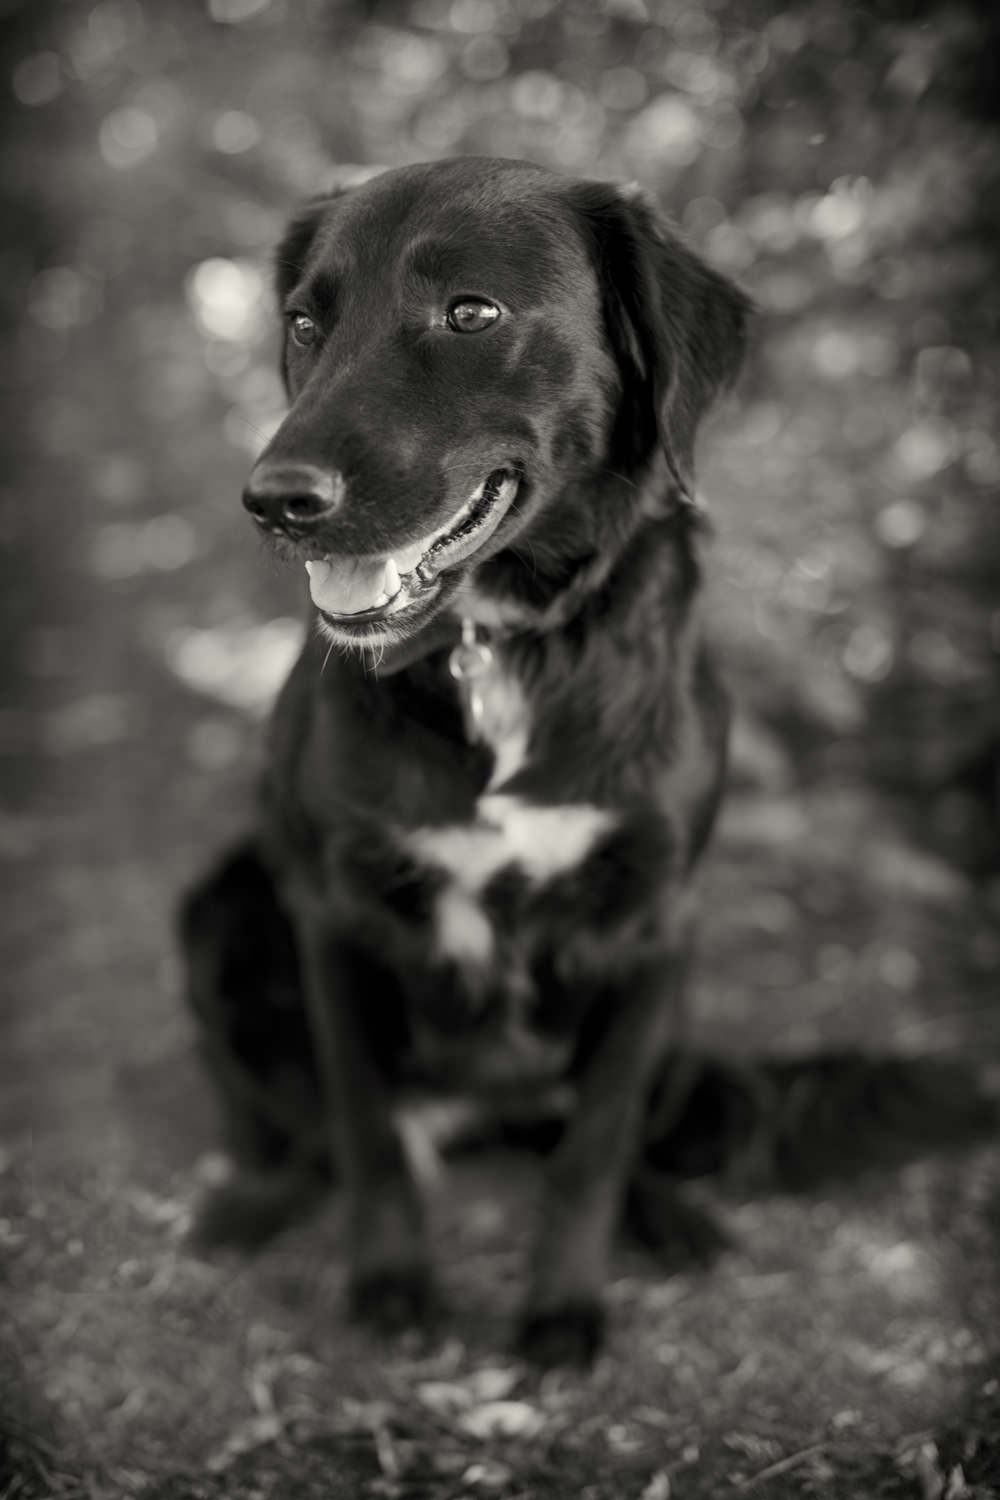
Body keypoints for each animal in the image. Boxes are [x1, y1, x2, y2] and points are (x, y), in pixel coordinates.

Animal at [179, 158, 749, 1368]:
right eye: (306, 322)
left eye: (471, 313)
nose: (274, 502)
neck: (495, 645)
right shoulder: (333, 914)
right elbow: (364, 1130)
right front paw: (392, 1283)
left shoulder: (657, 919)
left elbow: (596, 1144)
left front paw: (564, 1307)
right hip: (221, 907)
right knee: (302, 1130)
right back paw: (254, 1202)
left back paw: (671, 1214)